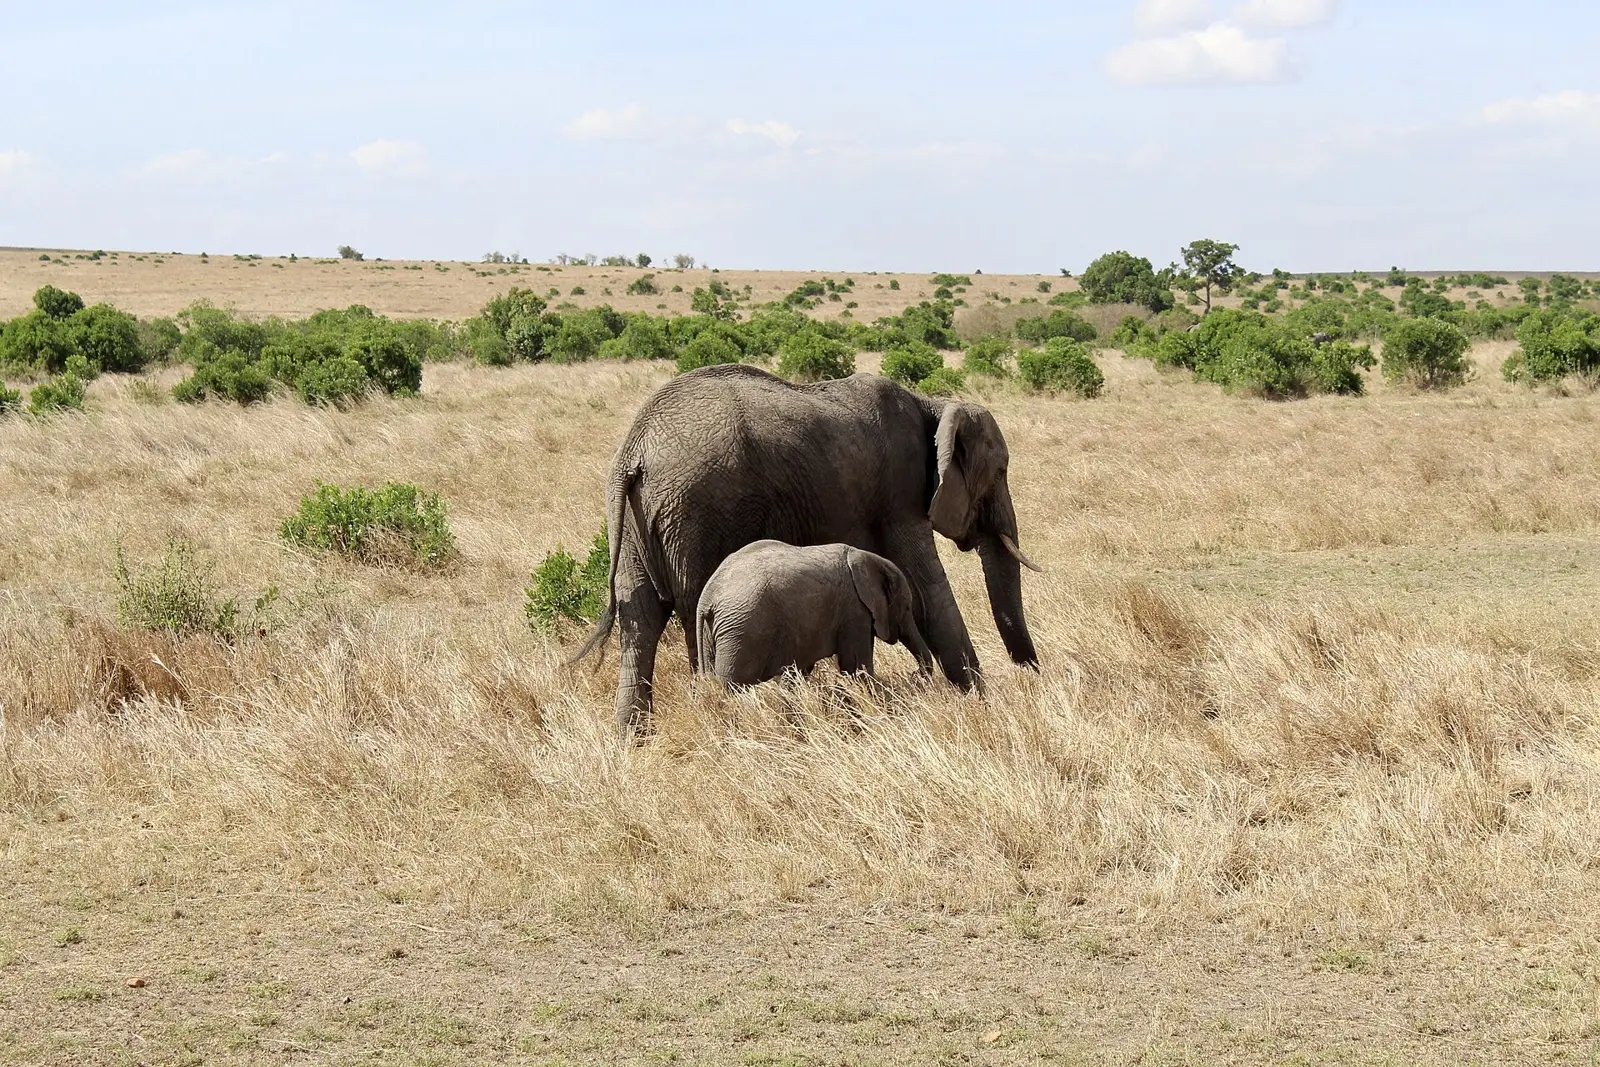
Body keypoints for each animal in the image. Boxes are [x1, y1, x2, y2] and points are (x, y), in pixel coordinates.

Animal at [696, 540, 936, 687]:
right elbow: (855, 666)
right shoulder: (854, 610)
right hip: (742, 631)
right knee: (732, 686)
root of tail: (707, 597)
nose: (914, 675)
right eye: (907, 608)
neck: (866, 558)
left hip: (716, 635)